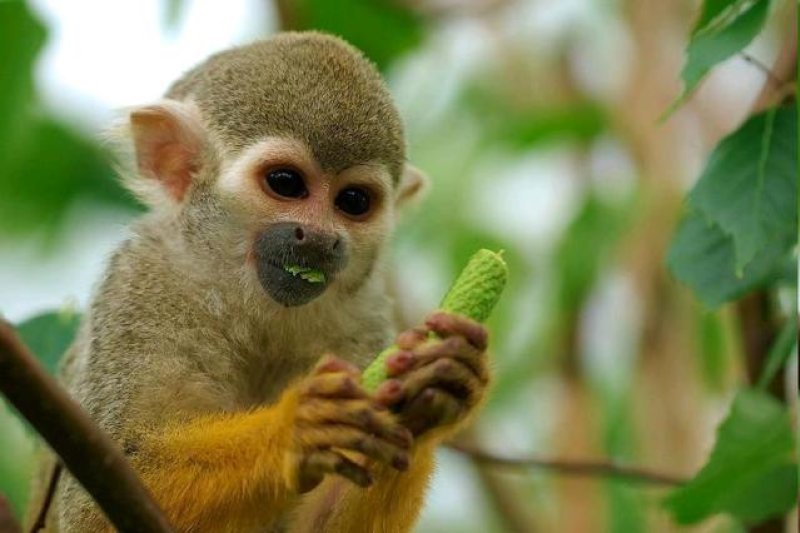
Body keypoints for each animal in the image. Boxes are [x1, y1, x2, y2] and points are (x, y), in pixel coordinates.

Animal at [26, 31, 492, 532]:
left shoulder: (363, 320)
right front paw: (294, 432)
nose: (321, 238)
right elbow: (96, 505)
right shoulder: (141, 284)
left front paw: (431, 393)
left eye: (353, 201)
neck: (247, 299)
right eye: (285, 183)